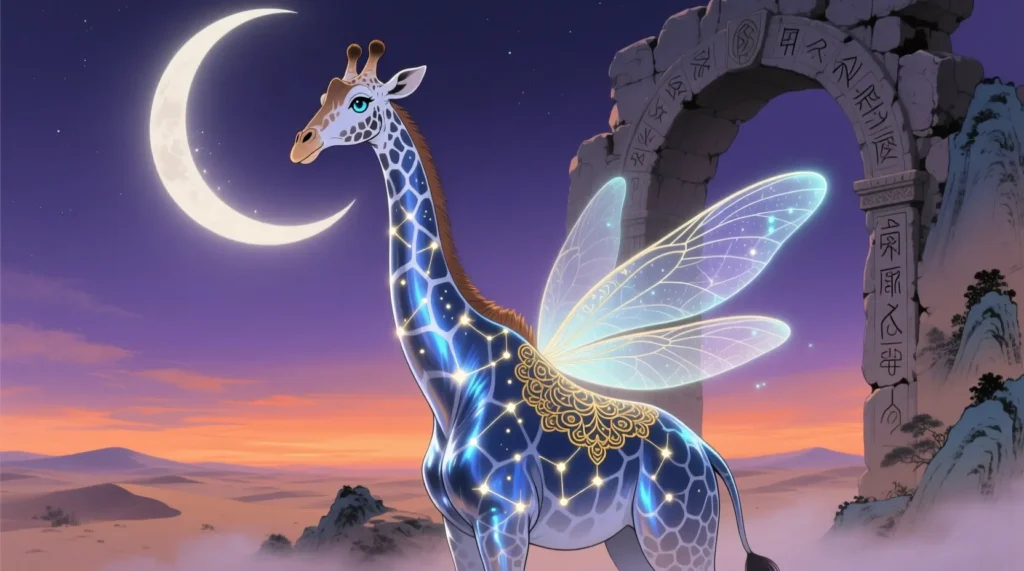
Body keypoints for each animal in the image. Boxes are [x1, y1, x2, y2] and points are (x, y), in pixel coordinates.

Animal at [288, 40, 780, 571]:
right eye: (324, 93)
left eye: (361, 101)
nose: (302, 143)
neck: (451, 387)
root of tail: (710, 455)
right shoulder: (458, 527)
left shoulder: (505, 518)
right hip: (629, 538)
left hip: (679, 534)